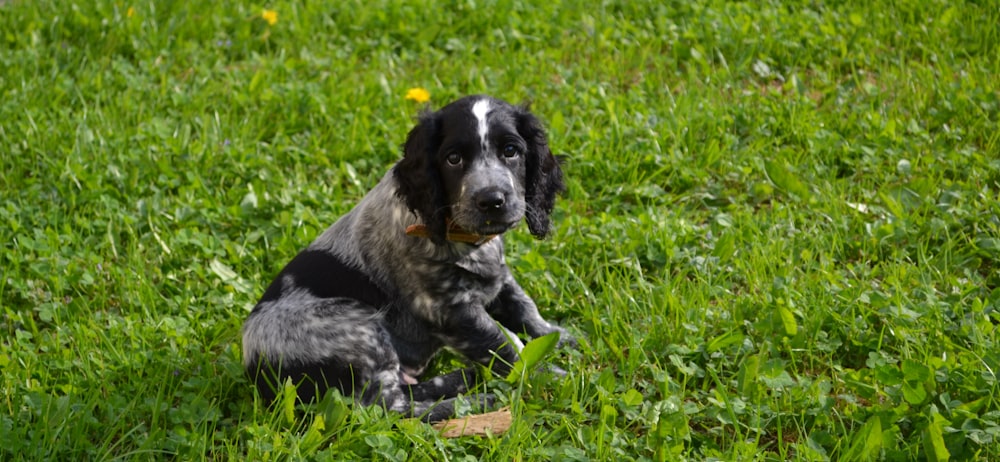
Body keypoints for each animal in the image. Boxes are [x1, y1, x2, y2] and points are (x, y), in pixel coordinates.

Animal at [240, 94, 580, 422]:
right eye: (453, 159)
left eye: (511, 150)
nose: (491, 200)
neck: (460, 236)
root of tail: (254, 370)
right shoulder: (450, 310)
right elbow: (507, 347)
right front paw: (549, 376)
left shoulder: (497, 277)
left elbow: (525, 308)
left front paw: (561, 337)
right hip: (361, 332)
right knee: (390, 409)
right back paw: (474, 401)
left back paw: (462, 379)